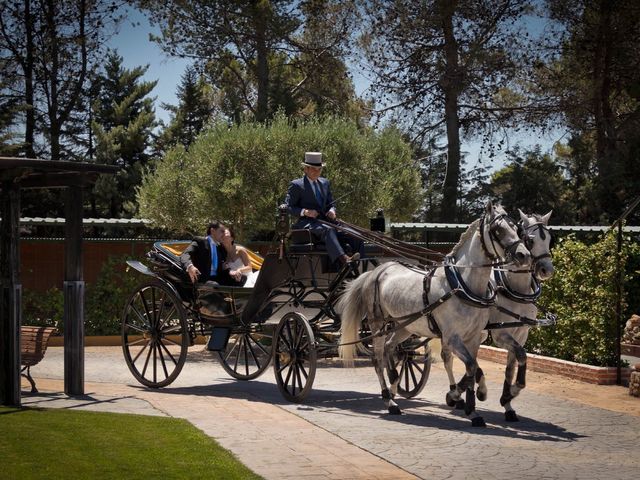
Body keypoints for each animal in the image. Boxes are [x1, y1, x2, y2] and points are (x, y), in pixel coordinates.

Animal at [338, 201, 528, 426]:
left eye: (516, 228)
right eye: (498, 230)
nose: (524, 255)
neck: (461, 284)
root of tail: (375, 271)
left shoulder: (473, 338)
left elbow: (472, 369)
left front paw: (473, 407)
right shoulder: (452, 337)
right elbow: (471, 367)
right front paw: (459, 398)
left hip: (405, 325)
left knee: (390, 348)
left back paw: (394, 382)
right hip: (378, 324)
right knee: (377, 359)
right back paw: (389, 400)